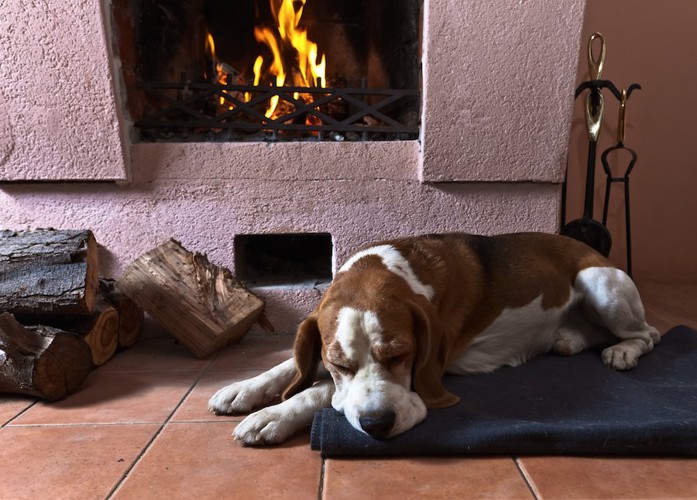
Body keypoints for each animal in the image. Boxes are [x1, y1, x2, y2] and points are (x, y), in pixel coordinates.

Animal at [207, 233, 656, 446]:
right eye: (340, 364)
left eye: (400, 355)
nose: (377, 425)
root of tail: (593, 250)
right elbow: (291, 365)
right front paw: (243, 389)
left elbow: (318, 390)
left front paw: (273, 416)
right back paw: (569, 340)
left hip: (599, 283)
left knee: (648, 335)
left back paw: (622, 351)